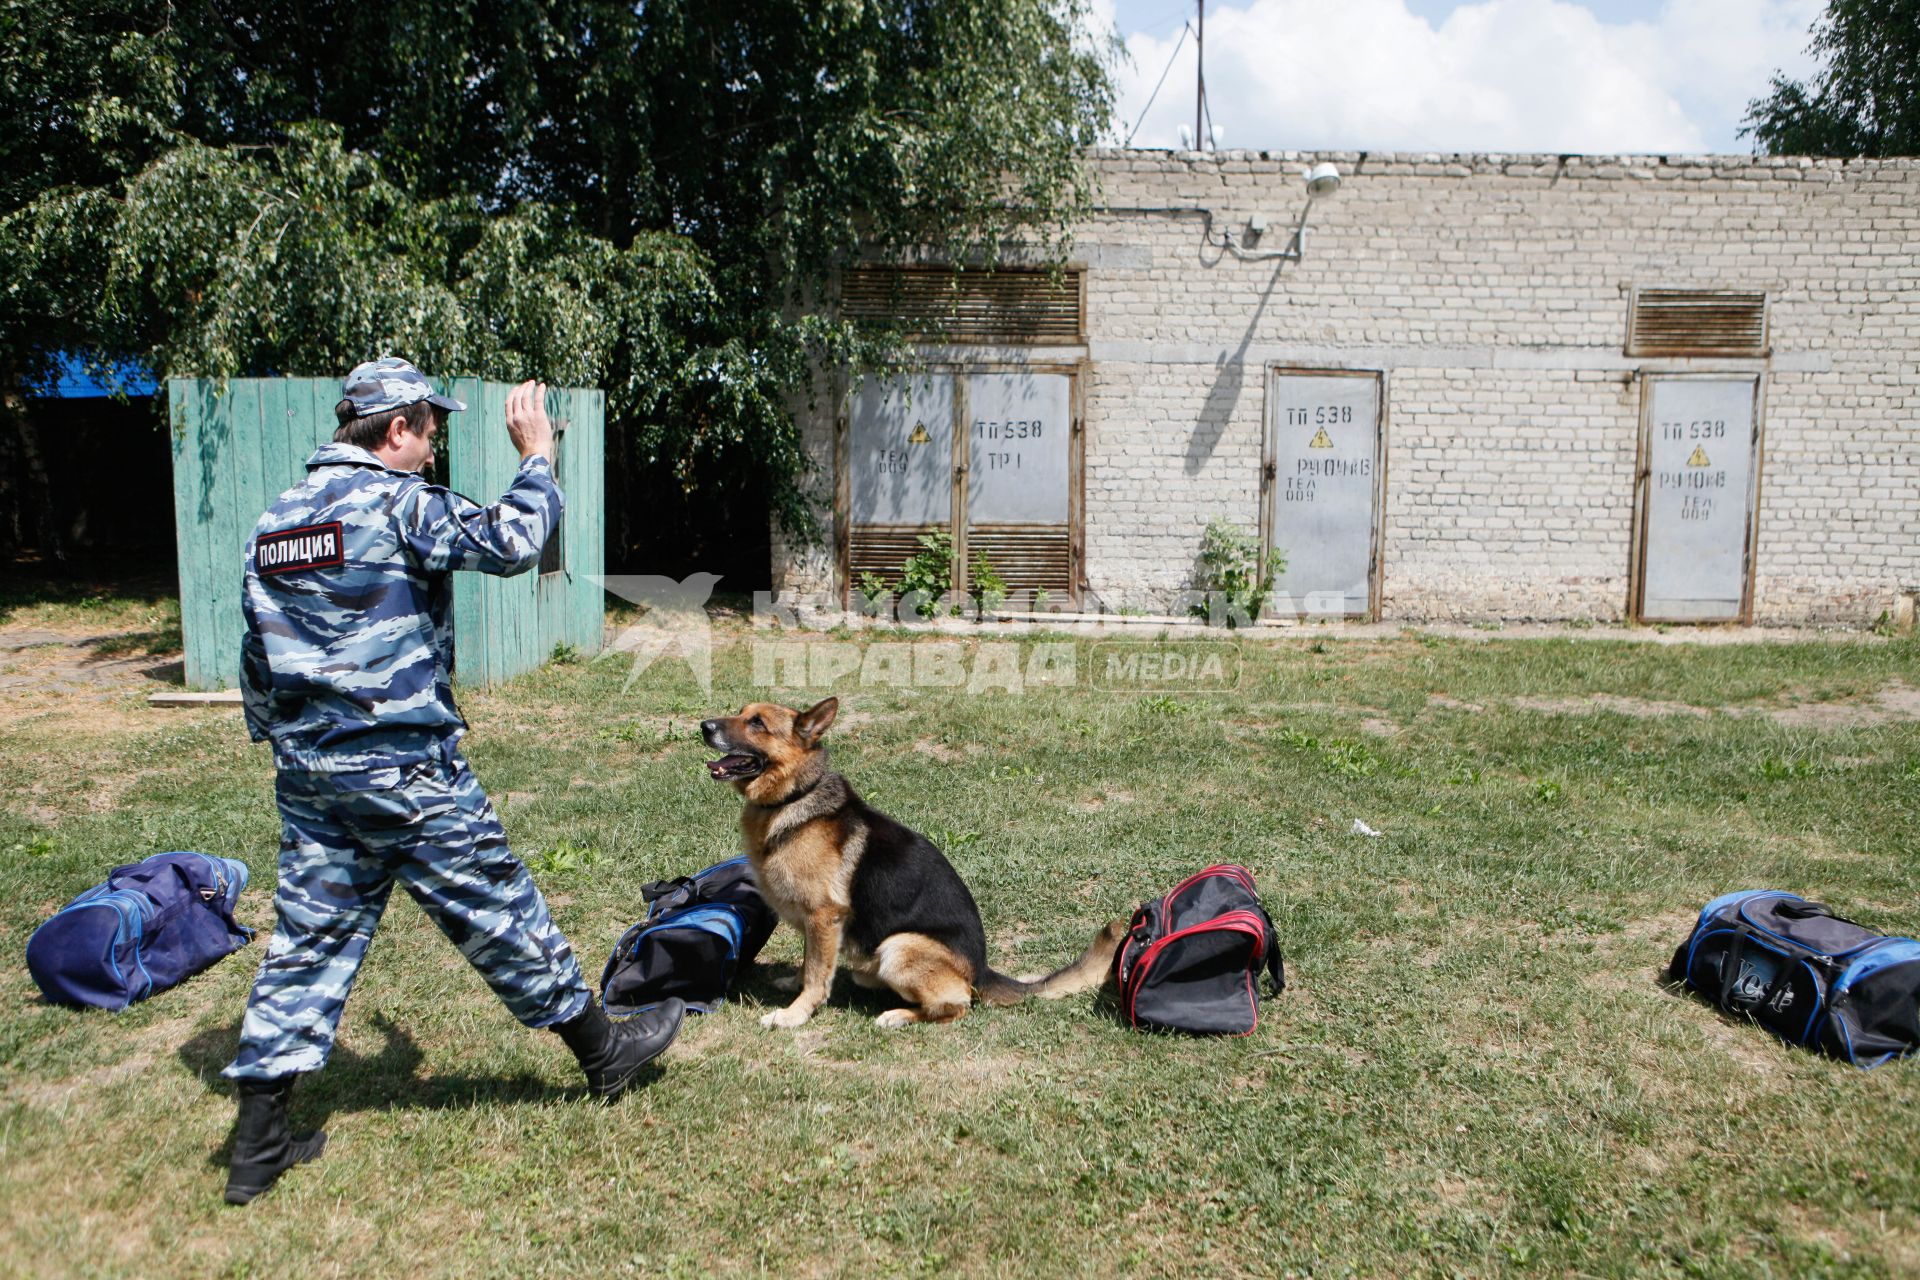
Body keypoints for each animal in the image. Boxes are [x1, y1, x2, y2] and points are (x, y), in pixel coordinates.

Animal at [702, 702, 1121, 1028]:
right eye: (740, 712)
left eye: (757, 723)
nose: (704, 726)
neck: (794, 797)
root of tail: (981, 970)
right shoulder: (816, 924)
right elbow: (811, 964)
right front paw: (793, 983)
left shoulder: (824, 916)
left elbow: (818, 976)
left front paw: (795, 1015)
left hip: (899, 947)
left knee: (957, 1006)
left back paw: (899, 1016)